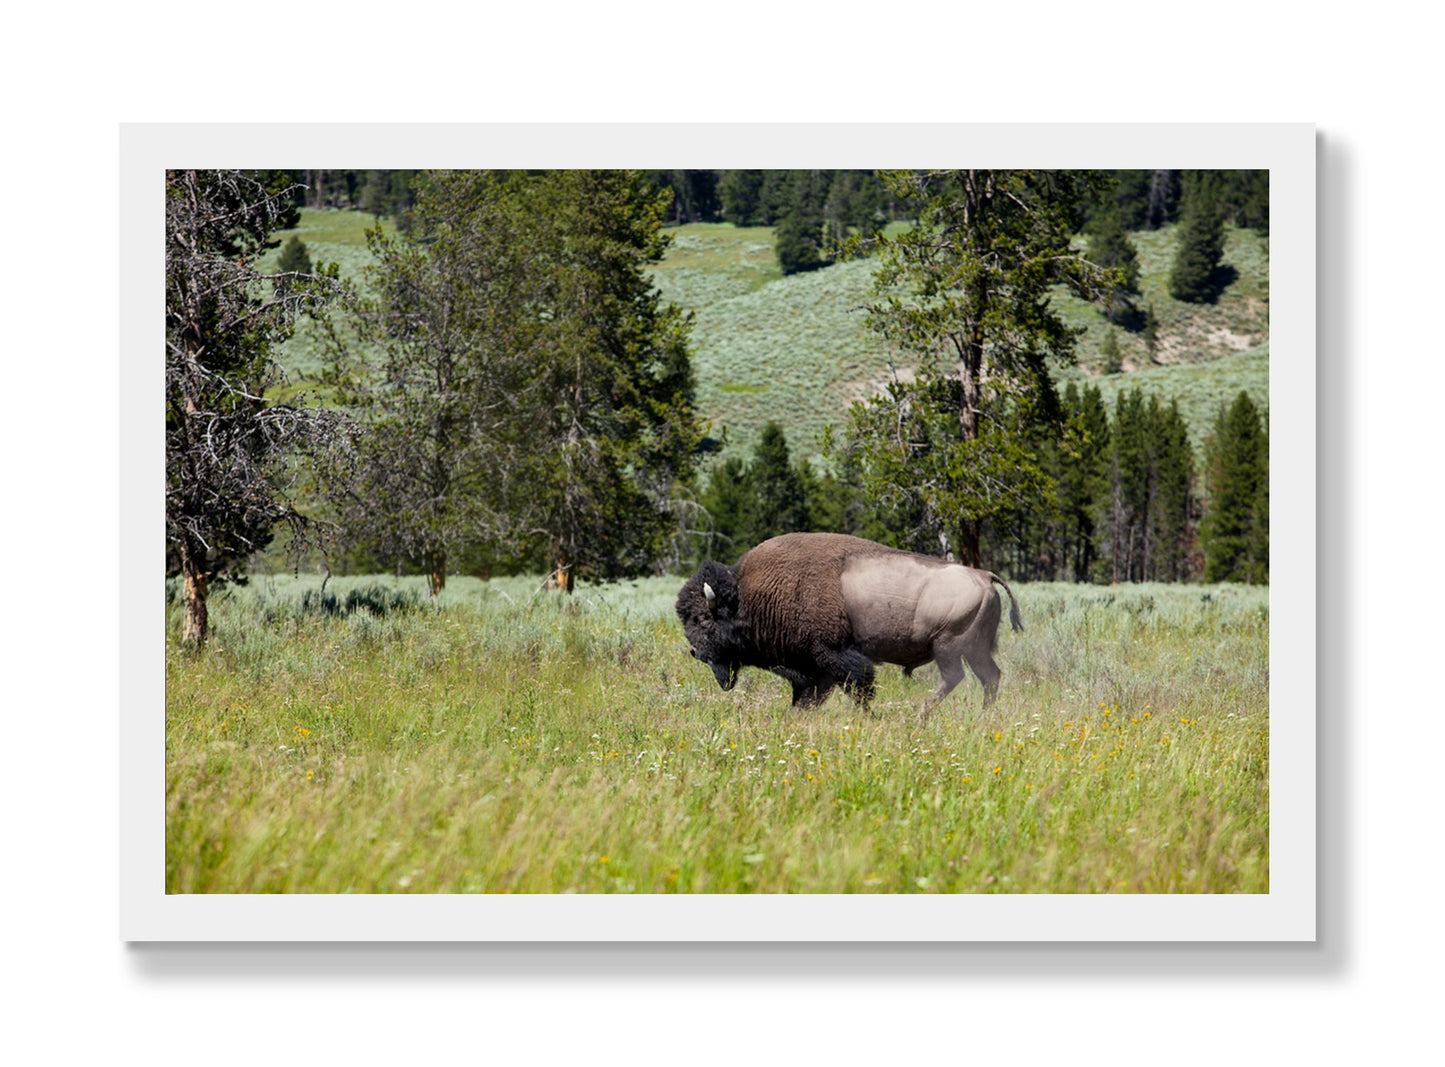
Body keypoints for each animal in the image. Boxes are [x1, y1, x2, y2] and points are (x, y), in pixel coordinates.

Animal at [675, 532, 1023, 711]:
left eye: (703, 620)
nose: (695, 652)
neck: (749, 595)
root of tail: (984, 575)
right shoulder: (813, 670)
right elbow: (808, 698)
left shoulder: (833, 657)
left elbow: (859, 687)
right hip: (974, 650)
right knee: (990, 677)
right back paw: (982, 715)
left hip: (948, 646)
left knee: (955, 678)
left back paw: (921, 714)